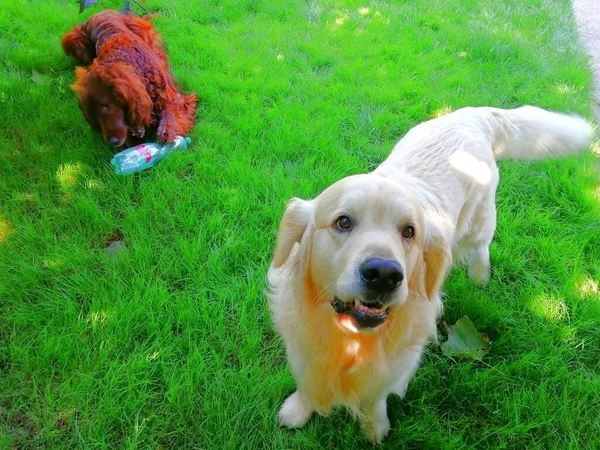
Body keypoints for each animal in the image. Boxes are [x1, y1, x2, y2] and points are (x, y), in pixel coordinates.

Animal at [63, 10, 199, 149]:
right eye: (92, 114)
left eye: (106, 105)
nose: (112, 142)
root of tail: (100, 12)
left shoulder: (170, 94)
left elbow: (171, 109)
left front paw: (166, 130)